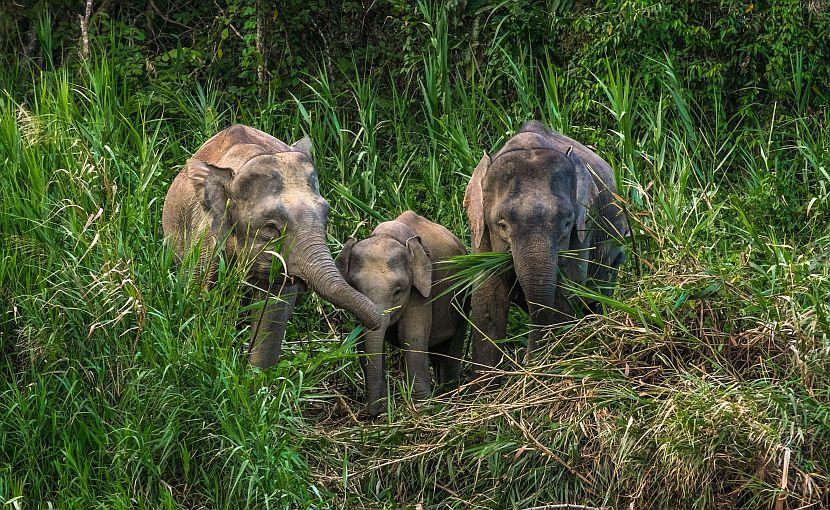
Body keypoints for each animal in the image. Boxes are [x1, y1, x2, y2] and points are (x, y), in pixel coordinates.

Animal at [162, 125, 384, 368]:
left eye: (327, 217)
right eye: (271, 227)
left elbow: (272, 312)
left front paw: (256, 374)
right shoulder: (206, 239)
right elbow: (200, 295)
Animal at [336, 210, 468, 414]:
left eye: (398, 291)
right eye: (355, 287)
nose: (371, 414)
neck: (389, 235)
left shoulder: (421, 288)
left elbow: (412, 336)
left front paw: (422, 408)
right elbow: (362, 342)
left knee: (452, 346)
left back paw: (449, 394)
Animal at [462, 120, 632, 370]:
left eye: (567, 223)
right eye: (501, 225)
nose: (524, 360)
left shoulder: (584, 226)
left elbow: (566, 291)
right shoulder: (480, 230)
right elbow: (487, 298)